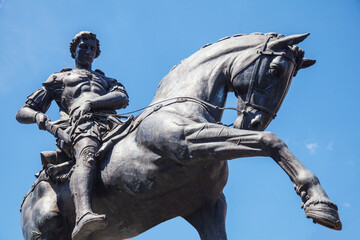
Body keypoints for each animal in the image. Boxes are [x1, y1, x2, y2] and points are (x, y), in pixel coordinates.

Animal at [21, 32, 342, 240]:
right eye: (275, 69)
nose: (255, 121)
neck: (181, 104)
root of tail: (28, 197)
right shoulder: (187, 143)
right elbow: (269, 141)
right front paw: (320, 204)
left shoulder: (207, 206)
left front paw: (319, 202)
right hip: (45, 232)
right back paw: (87, 219)